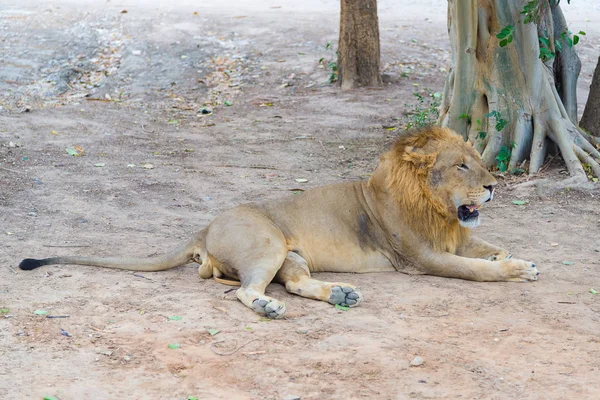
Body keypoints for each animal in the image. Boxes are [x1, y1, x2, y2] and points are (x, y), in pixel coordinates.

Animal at [19, 126, 540, 318]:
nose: (494, 186)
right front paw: (516, 268)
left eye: (478, 161)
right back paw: (269, 307)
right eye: (461, 166)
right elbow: (475, 268)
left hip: (290, 254)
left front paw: (515, 255)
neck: (434, 208)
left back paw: (342, 294)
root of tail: (203, 227)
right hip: (267, 243)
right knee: (247, 291)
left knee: (294, 283)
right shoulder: (421, 257)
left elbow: (485, 245)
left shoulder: (454, 237)